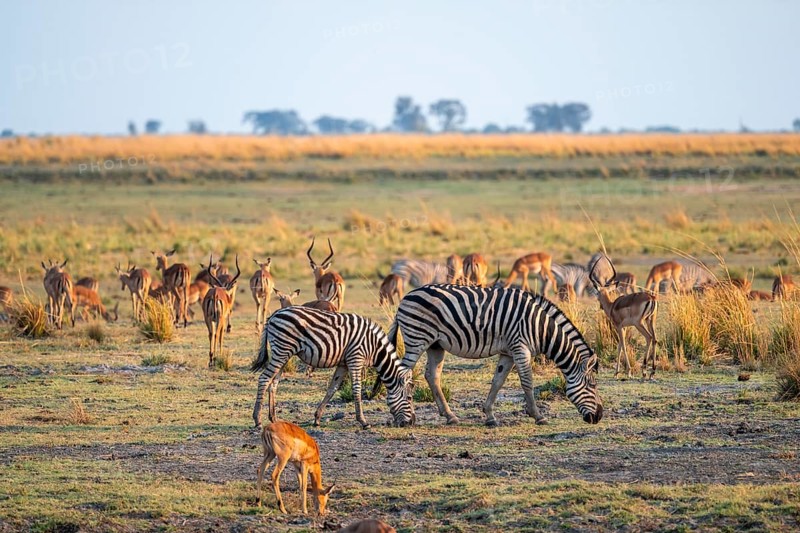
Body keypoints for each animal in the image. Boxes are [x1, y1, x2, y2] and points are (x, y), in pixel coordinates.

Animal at [251, 306, 415, 430]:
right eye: (409, 398)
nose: (411, 423)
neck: (374, 347)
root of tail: (274, 314)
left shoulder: (343, 364)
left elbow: (332, 388)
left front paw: (317, 418)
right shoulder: (356, 358)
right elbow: (356, 389)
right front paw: (363, 421)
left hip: (283, 353)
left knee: (273, 383)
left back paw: (274, 418)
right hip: (282, 350)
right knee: (264, 379)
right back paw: (257, 420)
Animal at [391, 284, 603, 427]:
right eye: (592, 386)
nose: (599, 416)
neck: (540, 327)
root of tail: (406, 296)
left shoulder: (508, 352)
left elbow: (498, 381)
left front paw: (490, 416)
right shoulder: (520, 347)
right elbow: (527, 382)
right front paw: (538, 416)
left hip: (435, 345)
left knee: (432, 375)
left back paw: (450, 416)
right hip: (417, 339)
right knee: (402, 373)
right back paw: (401, 416)